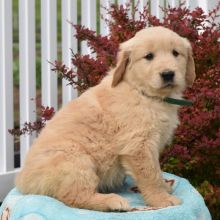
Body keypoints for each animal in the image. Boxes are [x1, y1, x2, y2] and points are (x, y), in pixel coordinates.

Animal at [15, 25, 196, 211]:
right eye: (149, 56)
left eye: (175, 53)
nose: (168, 74)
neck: (144, 93)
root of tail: (24, 182)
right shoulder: (138, 145)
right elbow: (150, 174)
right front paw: (162, 199)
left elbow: (157, 170)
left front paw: (164, 186)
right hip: (76, 159)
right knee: (75, 196)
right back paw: (112, 201)